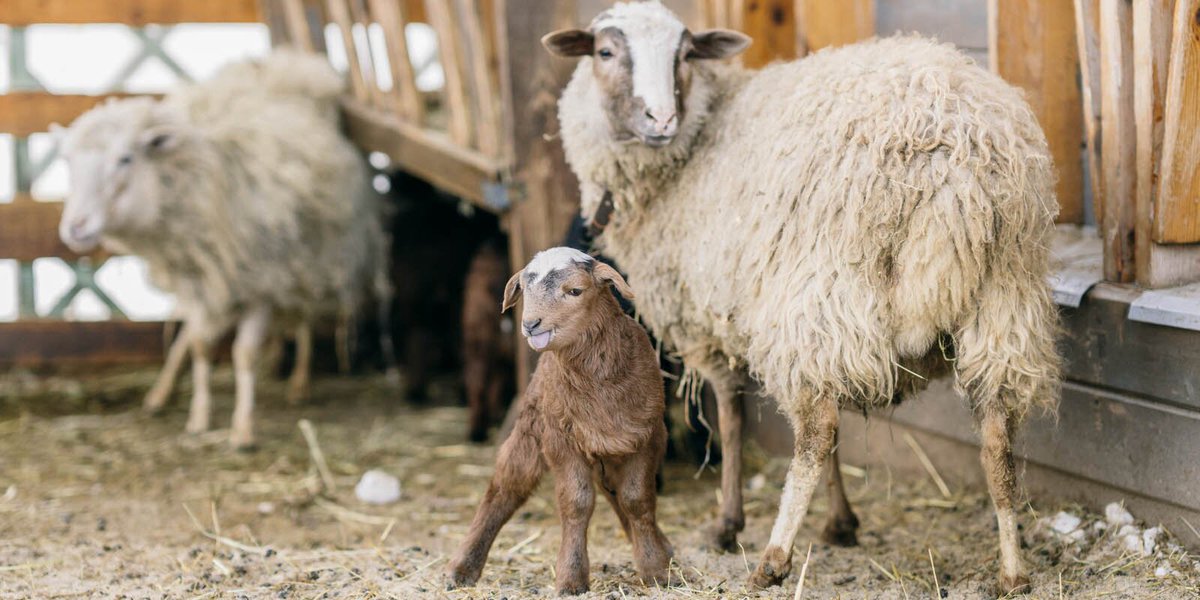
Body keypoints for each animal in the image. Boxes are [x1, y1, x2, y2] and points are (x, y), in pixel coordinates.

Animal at [55, 49, 395, 450]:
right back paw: (161, 393)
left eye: (125, 159)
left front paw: (242, 430)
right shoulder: (197, 278)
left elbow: (244, 355)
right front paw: (198, 418)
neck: (206, 175)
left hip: (307, 256)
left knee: (304, 317)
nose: (74, 227)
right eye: (68, 162)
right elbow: (200, 344)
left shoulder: (262, 283)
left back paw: (299, 383)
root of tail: (289, 65)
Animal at [543, 2, 1061, 594]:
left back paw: (774, 557)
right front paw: (841, 522)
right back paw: (1013, 570)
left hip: (820, 292)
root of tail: (953, 161)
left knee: (815, 432)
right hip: (1003, 299)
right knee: (997, 438)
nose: (661, 120)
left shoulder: (706, 321)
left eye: (684, 54)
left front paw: (728, 523)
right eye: (605, 52)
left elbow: (731, 415)